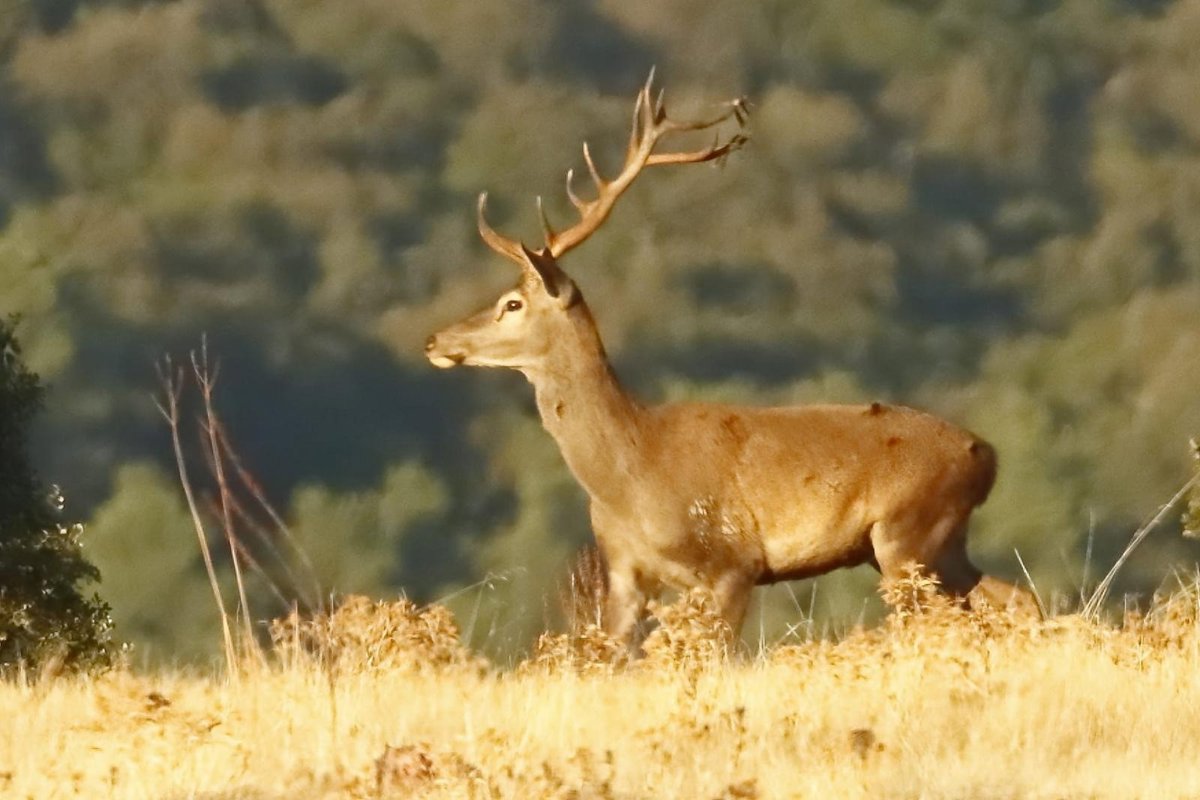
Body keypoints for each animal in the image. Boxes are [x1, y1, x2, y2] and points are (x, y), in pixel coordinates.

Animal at [425, 74, 1038, 648]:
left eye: (512, 303)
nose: (434, 340)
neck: (631, 469)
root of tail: (988, 456)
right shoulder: (624, 572)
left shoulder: (730, 564)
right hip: (932, 545)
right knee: (1015, 598)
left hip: (908, 533)